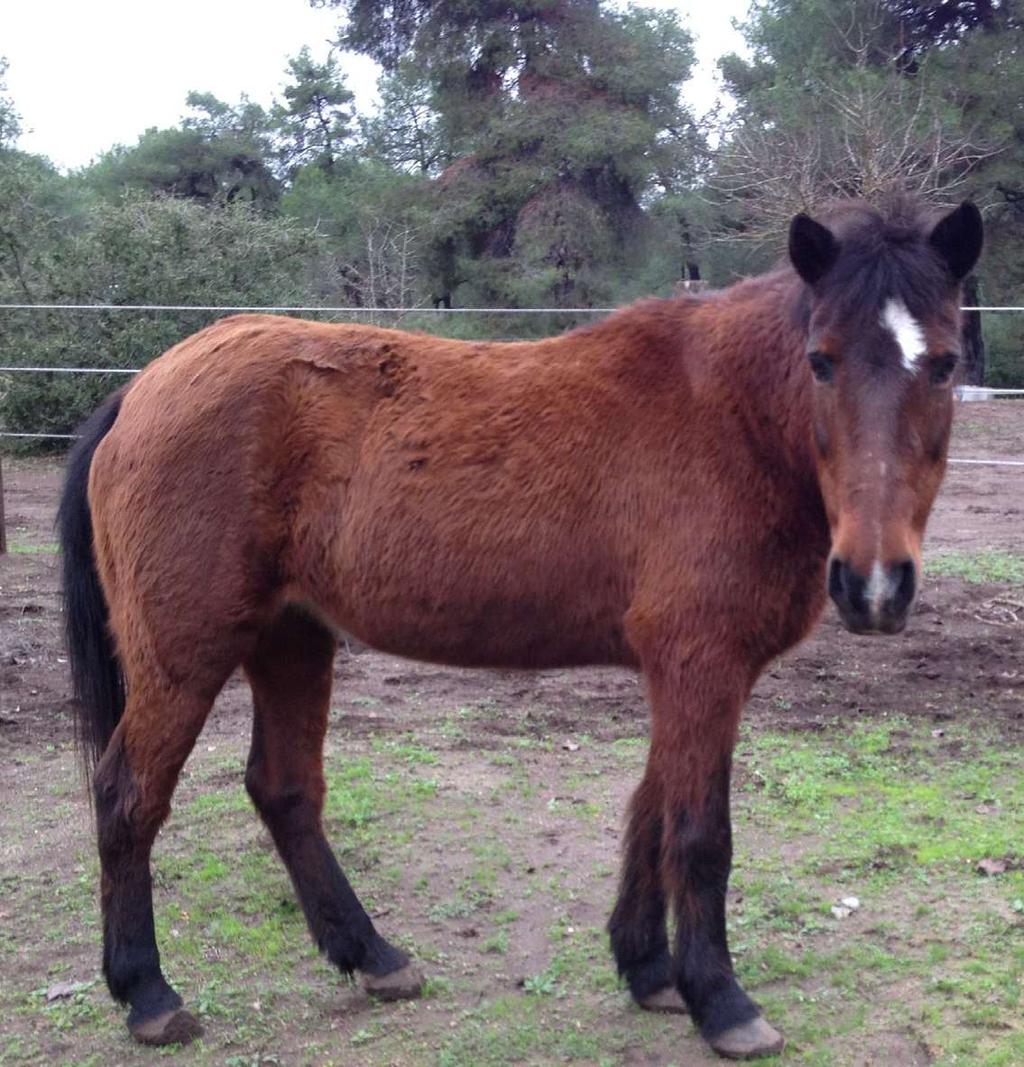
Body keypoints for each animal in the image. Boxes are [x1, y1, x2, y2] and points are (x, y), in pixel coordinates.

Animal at [58, 198, 985, 1058]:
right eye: (821, 361)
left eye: (942, 365)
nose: (873, 584)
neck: (728, 416)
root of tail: (142, 387)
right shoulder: (702, 665)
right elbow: (698, 832)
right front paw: (721, 1000)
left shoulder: (684, 672)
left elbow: (651, 809)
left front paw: (648, 968)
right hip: (185, 655)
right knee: (128, 795)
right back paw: (148, 993)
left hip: (291, 638)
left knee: (284, 791)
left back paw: (373, 955)